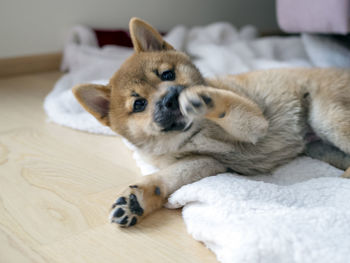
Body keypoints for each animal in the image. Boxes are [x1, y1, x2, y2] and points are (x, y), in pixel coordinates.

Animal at [72, 17, 350, 228]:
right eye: (139, 104)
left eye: (167, 74)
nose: (170, 98)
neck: (194, 135)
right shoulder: (208, 161)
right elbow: (168, 177)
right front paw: (137, 199)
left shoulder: (254, 122)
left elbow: (227, 106)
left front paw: (200, 96)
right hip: (318, 146)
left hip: (325, 115)